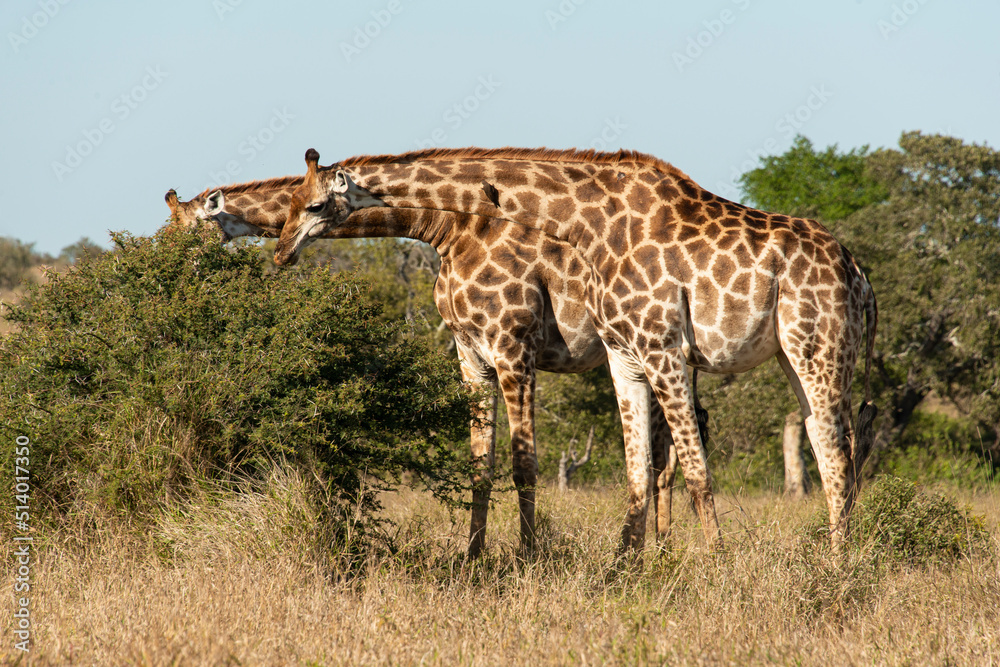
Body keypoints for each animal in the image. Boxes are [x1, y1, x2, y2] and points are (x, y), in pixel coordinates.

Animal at [163, 176, 708, 556]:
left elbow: (524, 463)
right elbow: (480, 465)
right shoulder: (472, 354)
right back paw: (661, 553)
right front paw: (473, 559)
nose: (165, 276)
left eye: (187, 236)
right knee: (669, 451)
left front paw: (530, 559)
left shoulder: (514, 348)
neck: (448, 229)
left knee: (669, 451)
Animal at [275, 146, 878, 551]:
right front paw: (625, 571)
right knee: (831, 448)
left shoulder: (653, 348)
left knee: (837, 457)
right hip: (795, 356)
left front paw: (716, 565)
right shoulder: (621, 356)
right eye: (289, 203)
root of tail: (859, 274)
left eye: (313, 205)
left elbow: (693, 470)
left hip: (818, 346)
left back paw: (837, 567)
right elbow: (635, 471)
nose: (280, 251)